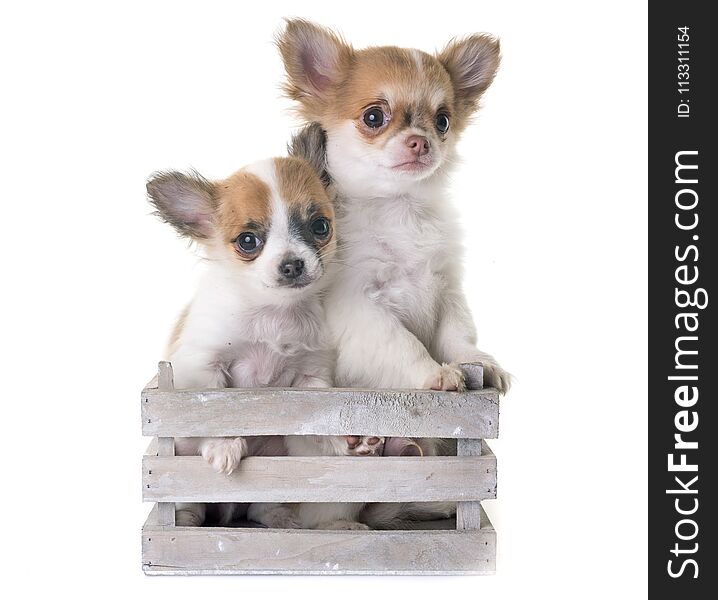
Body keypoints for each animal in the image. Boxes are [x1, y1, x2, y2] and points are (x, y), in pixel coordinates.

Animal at [150, 156, 380, 528]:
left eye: (320, 226)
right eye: (248, 241)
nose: (292, 264)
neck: (274, 313)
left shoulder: (312, 376)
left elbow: (319, 420)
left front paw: (339, 439)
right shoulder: (204, 367)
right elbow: (214, 411)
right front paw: (224, 446)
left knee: (263, 504)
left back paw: (283, 518)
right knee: (187, 499)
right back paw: (185, 519)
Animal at [280, 17, 512, 524]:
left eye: (443, 120)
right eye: (374, 117)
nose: (421, 141)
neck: (401, 209)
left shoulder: (447, 290)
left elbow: (459, 335)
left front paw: (481, 362)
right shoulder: (362, 310)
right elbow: (403, 344)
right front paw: (435, 375)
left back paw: (405, 456)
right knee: (332, 515)